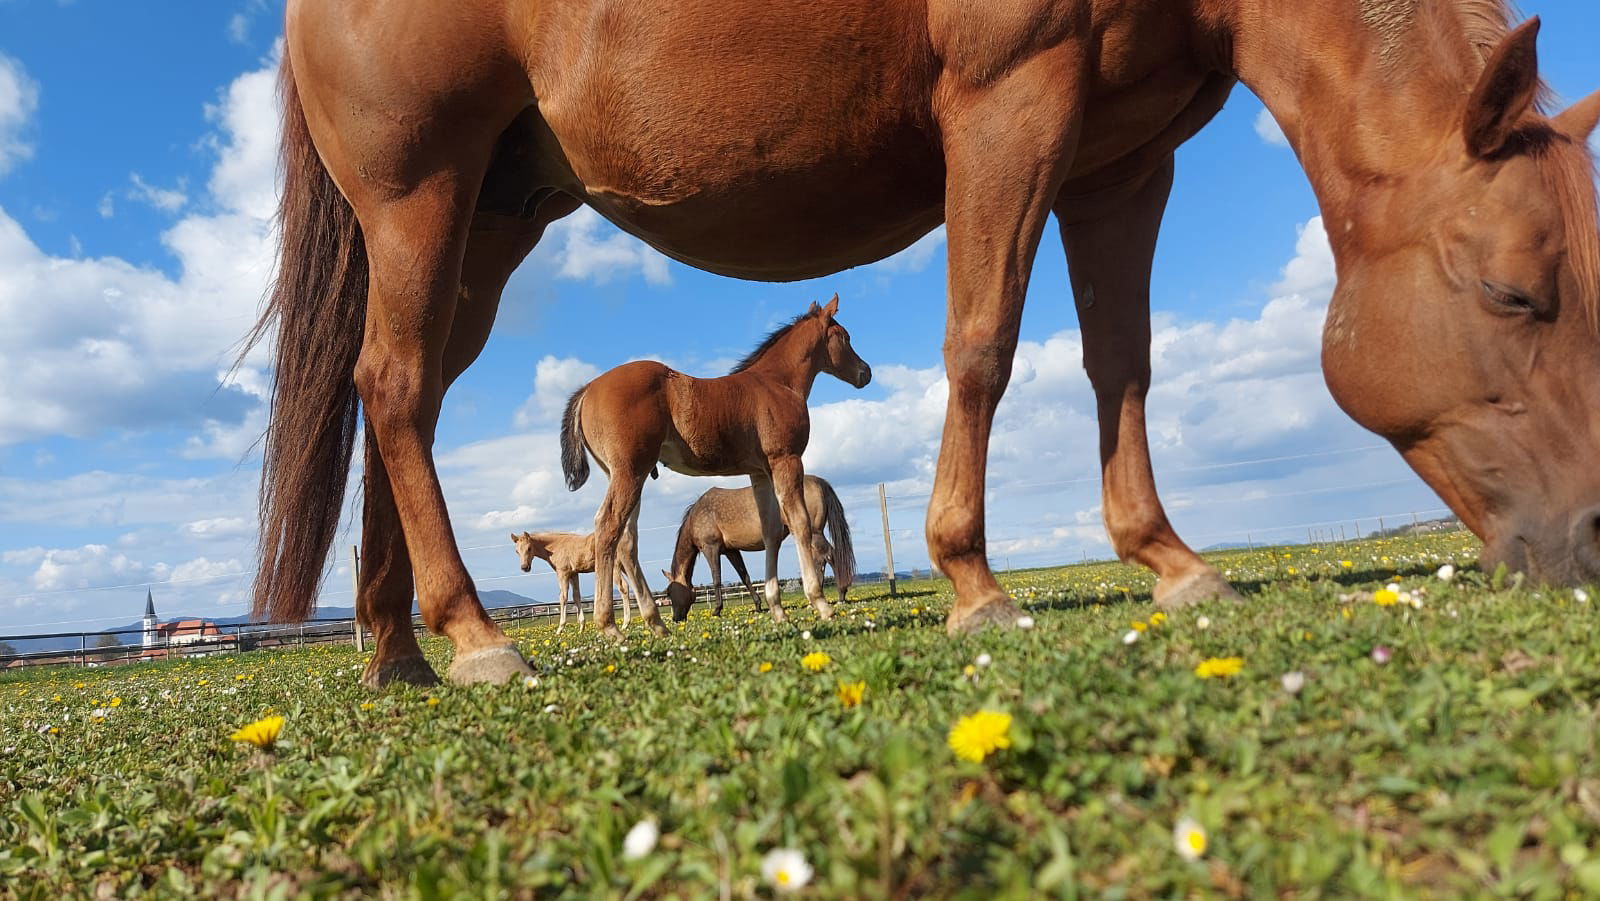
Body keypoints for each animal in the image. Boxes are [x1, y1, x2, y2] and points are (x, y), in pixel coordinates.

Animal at [508, 531, 640, 630]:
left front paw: (560, 628)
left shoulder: (563, 573)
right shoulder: (574, 574)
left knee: (624, 587)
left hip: (615, 567)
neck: (555, 547)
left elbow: (563, 597)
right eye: (516, 551)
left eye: (529, 548)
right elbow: (576, 596)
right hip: (625, 565)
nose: (525, 567)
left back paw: (625, 623)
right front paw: (581, 627)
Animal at [662, 473, 864, 620]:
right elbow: (744, 576)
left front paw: (717, 610)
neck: (697, 516)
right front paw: (758, 605)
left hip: (814, 533)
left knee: (831, 555)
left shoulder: (710, 548)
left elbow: (716, 578)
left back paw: (840, 595)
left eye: (670, 593)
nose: (676, 619)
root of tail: (818, 481)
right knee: (820, 561)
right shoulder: (731, 550)